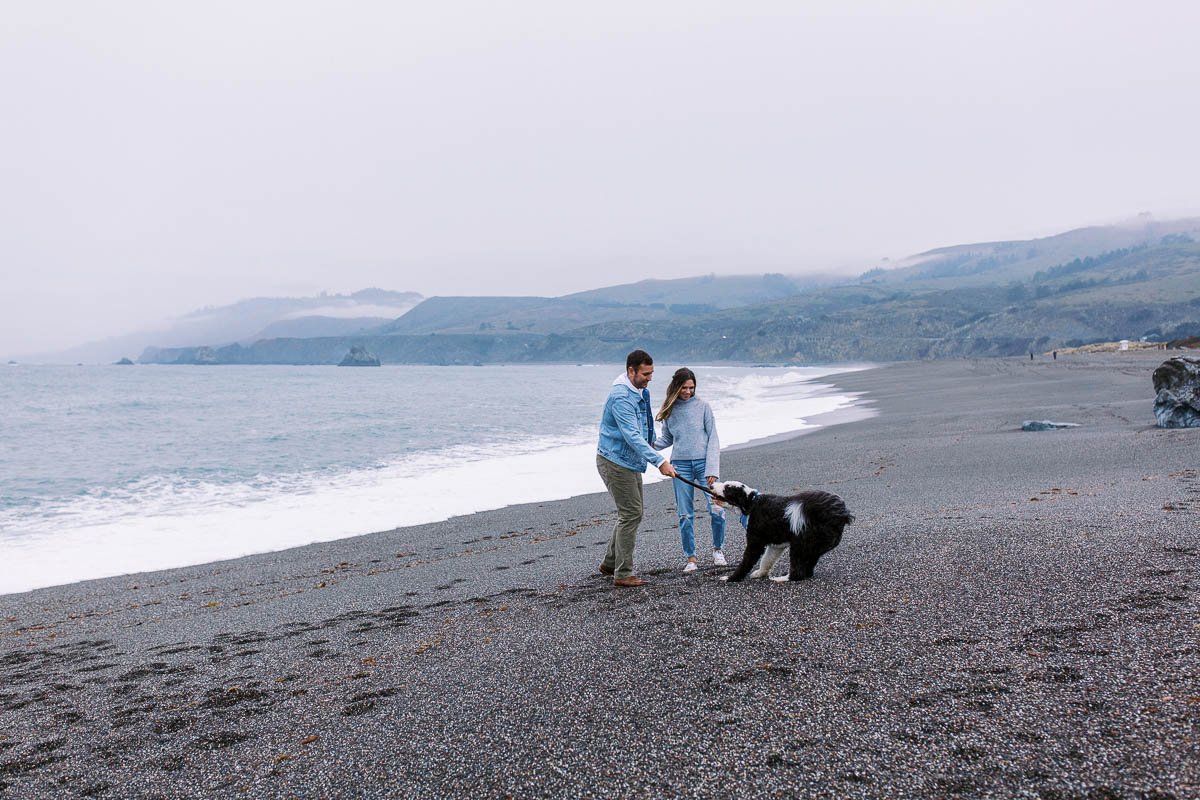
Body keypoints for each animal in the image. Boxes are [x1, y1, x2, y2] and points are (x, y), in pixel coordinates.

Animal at [710, 482, 854, 582]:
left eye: (727, 488)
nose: (710, 485)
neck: (752, 503)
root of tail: (840, 514)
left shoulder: (755, 543)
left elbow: (746, 562)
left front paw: (730, 578)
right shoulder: (775, 546)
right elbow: (767, 560)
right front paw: (760, 573)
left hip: (800, 544)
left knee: (797, 574)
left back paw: (781, 579)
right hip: (815, 547)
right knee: (807, 569)